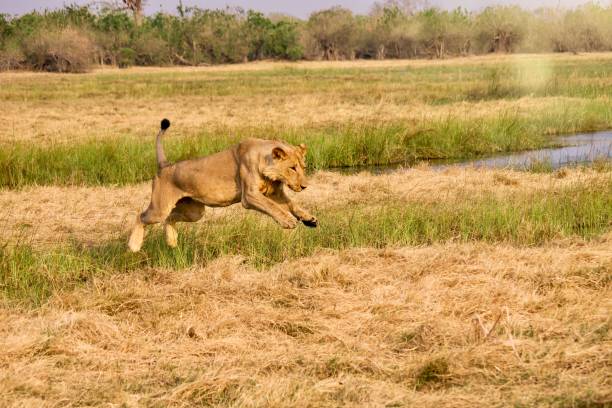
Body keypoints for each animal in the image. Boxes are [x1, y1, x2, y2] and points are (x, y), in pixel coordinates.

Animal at [126, 118, 318, 252]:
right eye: (292, 168)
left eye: (303, 167)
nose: (305, 186)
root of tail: (165, 165)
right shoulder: (249, 196)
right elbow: (272, 207)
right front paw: (288, 221)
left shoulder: (275, 193)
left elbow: (292, 204)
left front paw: (309, 219)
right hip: (159, 208)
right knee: (141, 216)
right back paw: (134, 246)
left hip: (195, 212)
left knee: (170, 218)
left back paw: (172, 241)